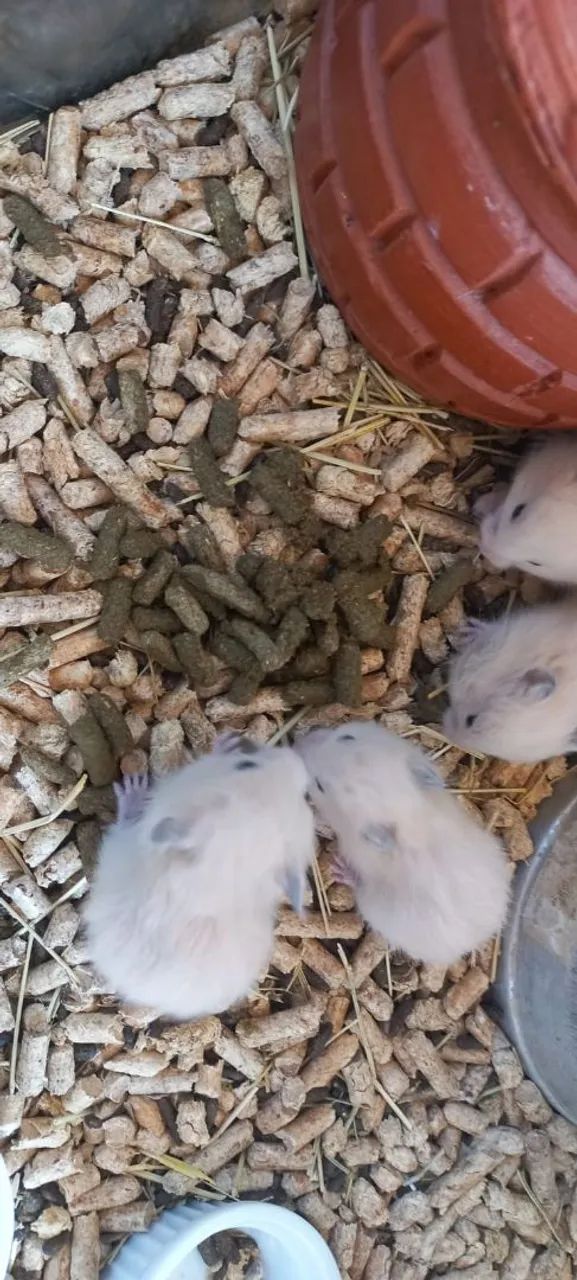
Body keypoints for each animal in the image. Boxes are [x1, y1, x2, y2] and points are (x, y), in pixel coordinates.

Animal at [84, 735, 315, 1019]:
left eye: (303, 796)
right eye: (246, 764)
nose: (297, 758)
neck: (215, 874)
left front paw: (224, 743)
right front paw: (229, 742)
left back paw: (133, 787)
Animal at [295, 721, 509, 965]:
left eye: (320, 785)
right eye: (347, 737)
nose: (297, 741)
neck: (405, 813)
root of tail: (477, 940)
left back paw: (340, 870)